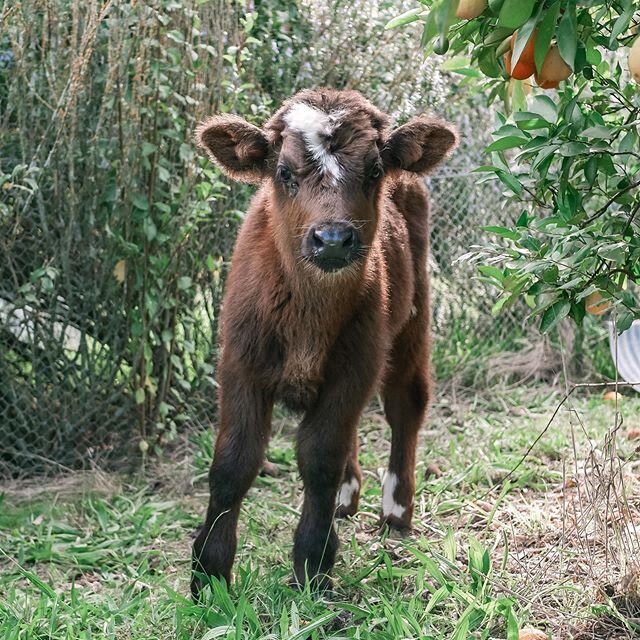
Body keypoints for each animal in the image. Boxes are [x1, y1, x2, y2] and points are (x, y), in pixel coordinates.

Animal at [192, 86, 458, 596]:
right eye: (283, 172)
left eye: (374, 171)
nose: (333, 239)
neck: (307, 318)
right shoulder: (240, 364)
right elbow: (234, 462)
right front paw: (209, 573)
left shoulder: (355, 367)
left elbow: (319, 458)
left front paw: (313, 563)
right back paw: (346, 498)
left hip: (411, 321)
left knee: (406, 404)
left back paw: (395, 511)